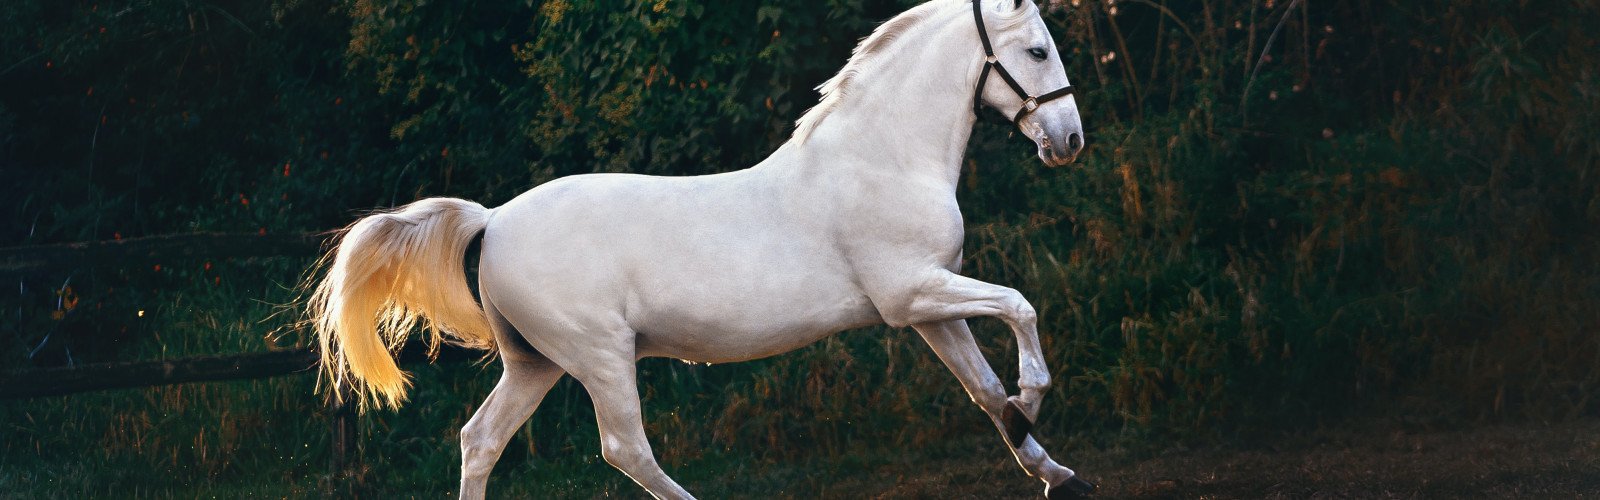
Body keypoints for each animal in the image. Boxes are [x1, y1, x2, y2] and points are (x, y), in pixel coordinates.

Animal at [308, 0, 1091, 497]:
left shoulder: (931, 306)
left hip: (535, 363)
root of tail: (494, 220)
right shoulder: (912, 293)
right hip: (599, 356)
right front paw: (1033, 399)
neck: (882, 158)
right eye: (1037, 50)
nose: (1069, 140)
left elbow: (983, 390)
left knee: (481, 440)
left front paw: (1057, 472)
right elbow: (1020, 308)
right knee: (625, 449)